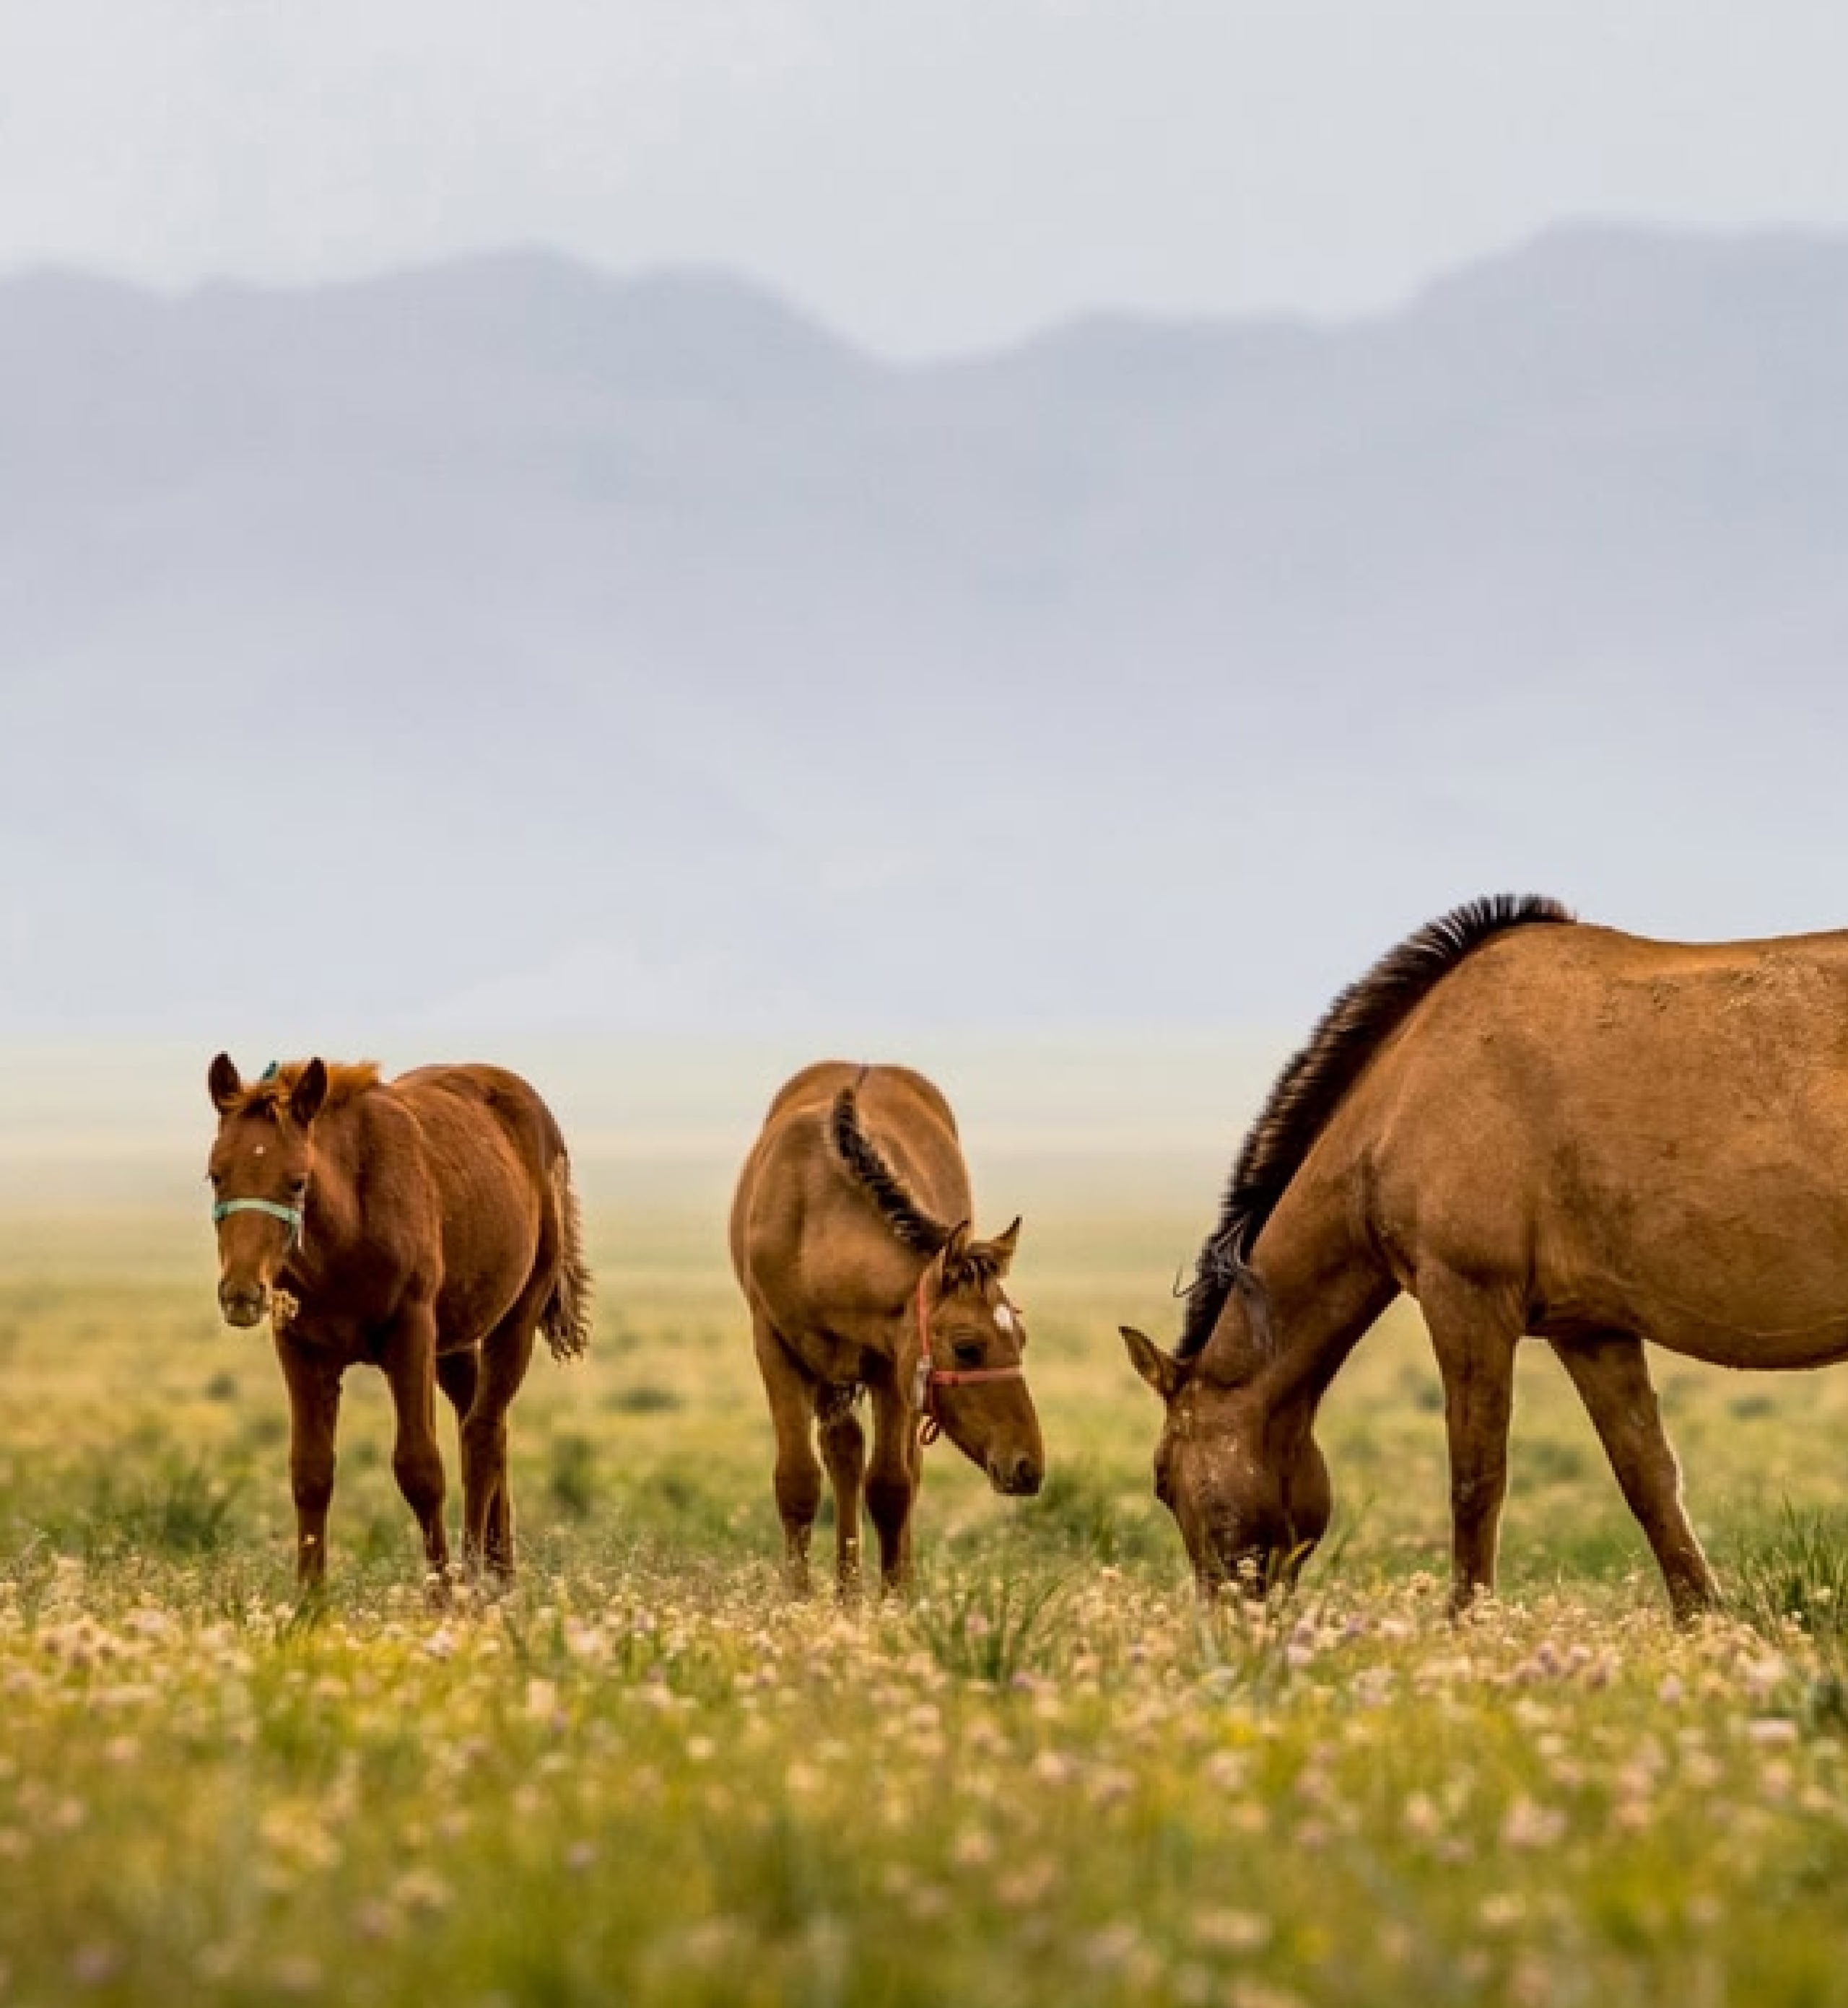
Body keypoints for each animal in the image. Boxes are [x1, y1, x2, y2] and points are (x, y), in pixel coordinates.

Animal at [205, 1054, 591, 1587]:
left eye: (297, 1181)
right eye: (216, 1175)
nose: (241, 1292)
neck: (350, 1227)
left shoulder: (410, 1336)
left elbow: (420, 1470)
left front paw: (441, 1595)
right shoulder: (302, 1350)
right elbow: (310, 1474)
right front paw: (309, 1600)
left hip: (515, 1320)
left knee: (480, 1436)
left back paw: (475, 1580)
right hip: (454, 1345)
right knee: (487, 1429)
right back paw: (500, 1581)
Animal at [730, 1062, 1045, 1593]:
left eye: (1020, 1339)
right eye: (967, 1347)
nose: (1029, 1466)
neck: (816, 1217)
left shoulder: (890, 1366)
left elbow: (892, 1487)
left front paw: (896, 1598)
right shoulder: (776, 1349)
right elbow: (798, 1480)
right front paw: (799, 1598)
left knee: (901, 1471)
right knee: (843, 1453)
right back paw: (848, 1593)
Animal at [1122, 895, 1848, 1620]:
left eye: (1161, 1479)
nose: (1226, 1623)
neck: (1405, 1089)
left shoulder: (1465, 1298)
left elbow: (1476, 1480)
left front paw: (1466, 1620)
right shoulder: (1592, 1330)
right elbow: (1647, 1476)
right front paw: (1703, 1620)